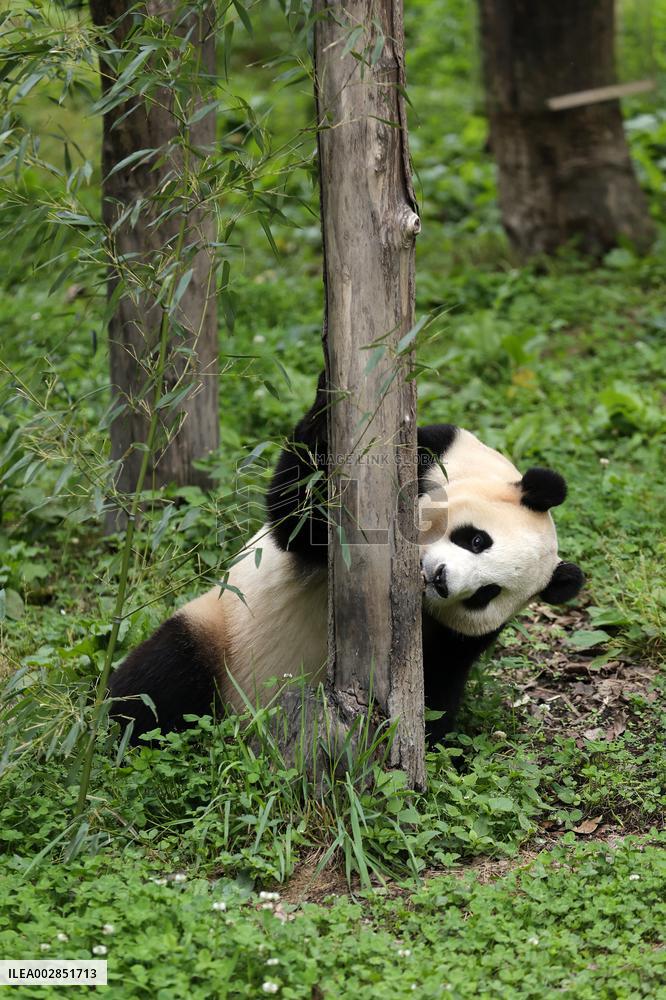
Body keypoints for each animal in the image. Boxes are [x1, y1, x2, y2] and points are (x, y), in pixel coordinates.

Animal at [109, 373, 584, 745]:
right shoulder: (431, 453)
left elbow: (441, 679)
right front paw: (329, 398)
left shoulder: (459, 636)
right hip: (221, 630)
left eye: (486, 594)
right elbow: (302, 517)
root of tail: (247, 719)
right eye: (477, 539)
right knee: (161, 676)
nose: (442, 580)